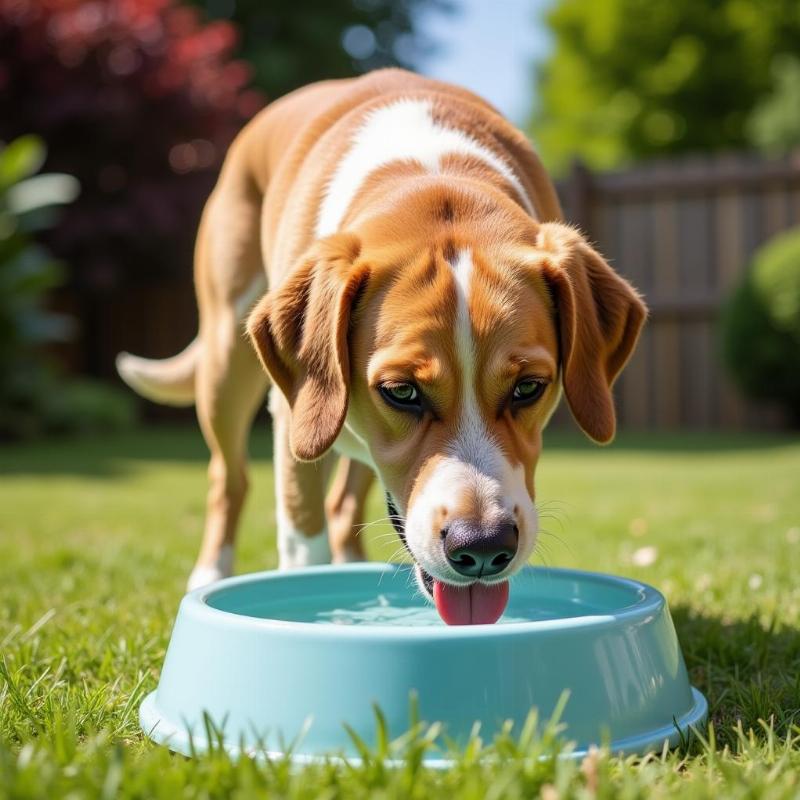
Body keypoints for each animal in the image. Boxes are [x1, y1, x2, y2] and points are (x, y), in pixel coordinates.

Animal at [115, 69, 648, 624]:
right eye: (402, 391)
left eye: (528, 387)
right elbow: (303, 536)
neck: (434, 176)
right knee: (229, 478)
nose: (482, 546)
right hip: (226, 362)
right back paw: (210, 571)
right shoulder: (295, 422)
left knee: (342, 503)